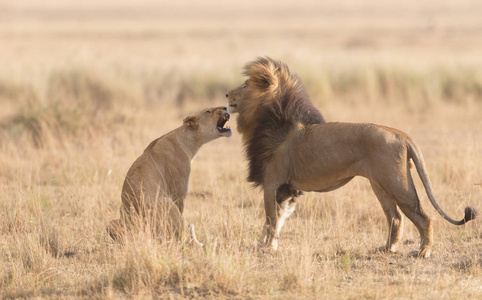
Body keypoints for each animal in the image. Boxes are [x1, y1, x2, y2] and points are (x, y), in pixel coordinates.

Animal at [108, 106, 232, 245]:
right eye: (208, 111)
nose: (225, 107)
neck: (188, 140)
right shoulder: (178, 194)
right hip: (166, 203)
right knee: (180, 238)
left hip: (112, 223)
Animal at [228, 56, 476, 258]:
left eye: (245, 85)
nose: (227, 94)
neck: (267, 118)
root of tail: (401, 134)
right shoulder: (286, 188)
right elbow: (277, 218)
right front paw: (265, 245)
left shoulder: (273, 182)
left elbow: (271, 219)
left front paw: (266, 248)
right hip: (380, 185)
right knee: (395, 217)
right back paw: (386, 249)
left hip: (397, 183)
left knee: (423, 217)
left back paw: (423, 251)